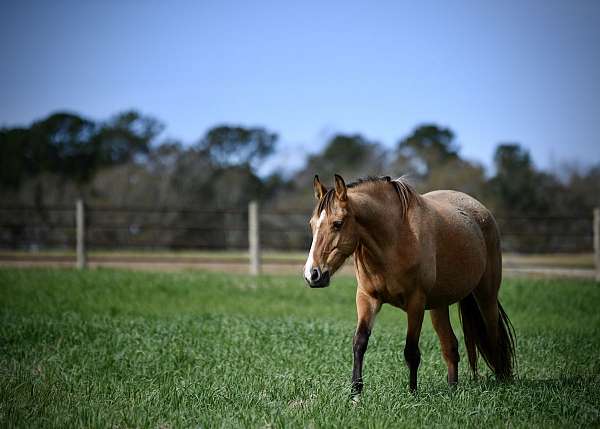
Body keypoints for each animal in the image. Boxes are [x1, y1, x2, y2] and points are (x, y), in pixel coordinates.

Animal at [304, 173, 516, 398]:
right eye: (312, 224)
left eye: (337, 223)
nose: (312, 274)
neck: (394, 239)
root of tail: (481, 211)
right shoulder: (367, 298)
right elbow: (359, 342)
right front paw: (356, 393)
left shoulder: (416, 303)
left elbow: (411, 350)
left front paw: (413, 393)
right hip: (439, 306)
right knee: (450, 346)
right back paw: (452, 389)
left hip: (486, 295)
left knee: (493, 337)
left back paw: (500, 382)